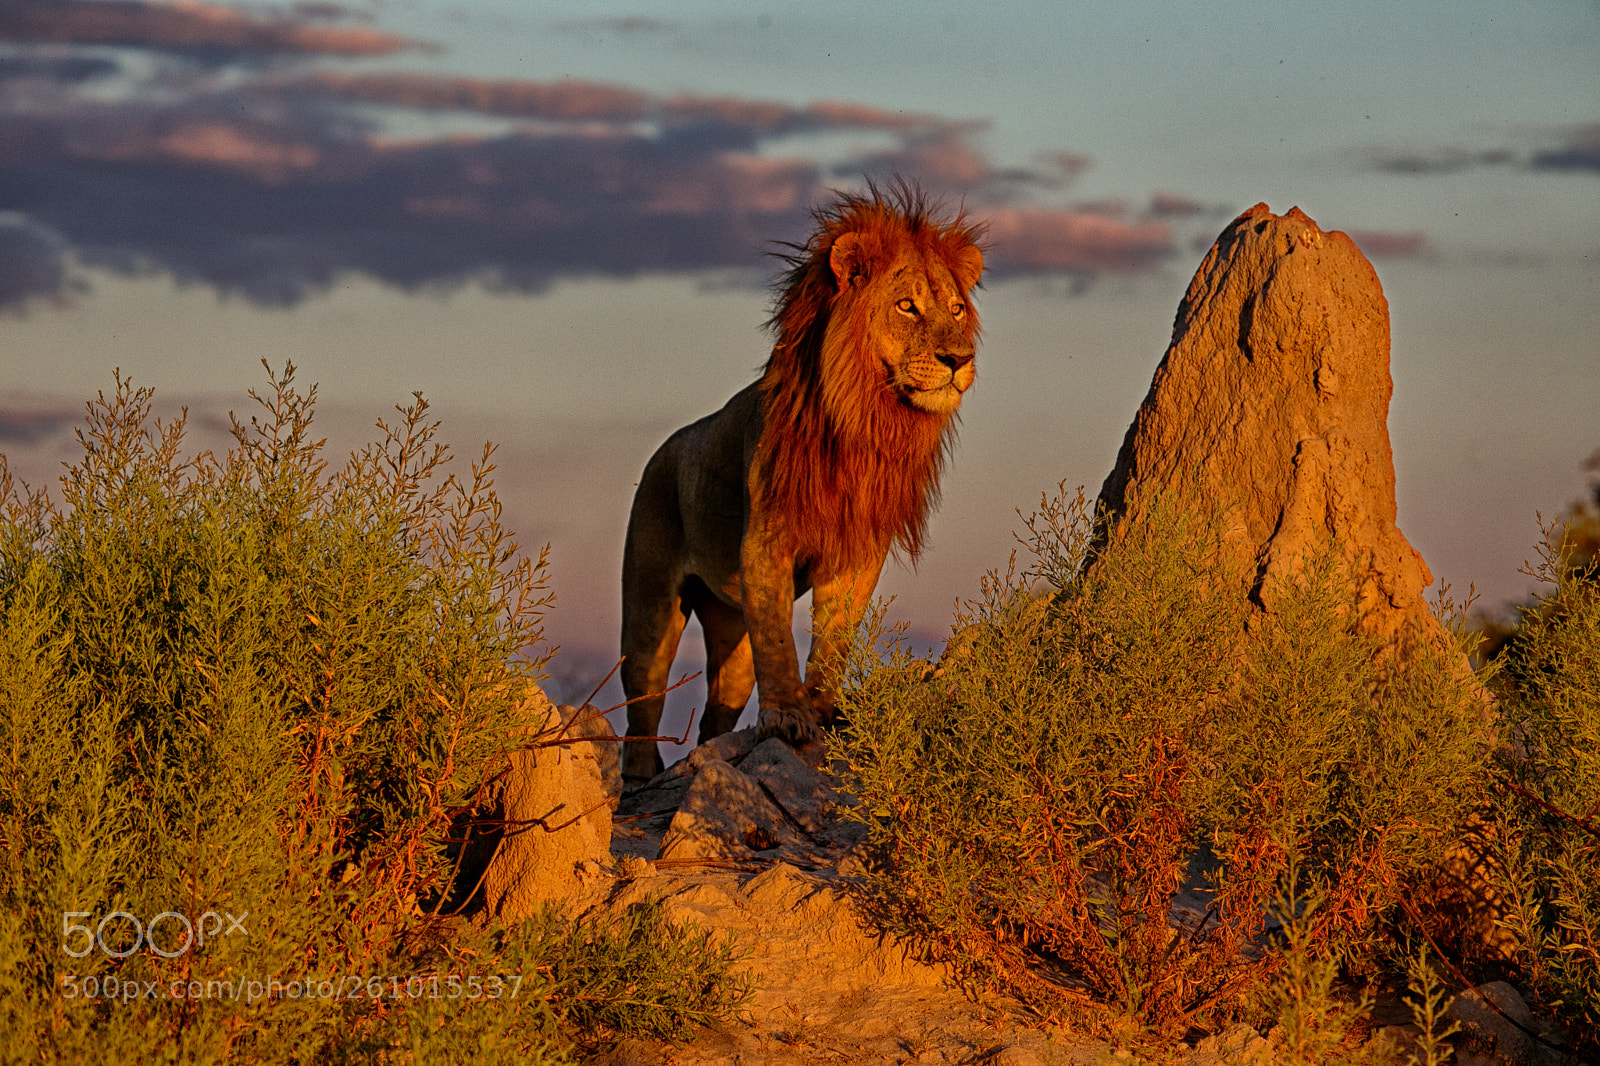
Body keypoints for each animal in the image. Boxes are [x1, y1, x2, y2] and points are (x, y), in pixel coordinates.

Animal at [620, 181, 985, 783]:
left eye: (956, 309)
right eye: (907, 305)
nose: (959, 359)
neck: (866, 420)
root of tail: (665, 448)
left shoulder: (857, 552)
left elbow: (833, 637)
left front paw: (821, 708)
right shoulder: (766, 544)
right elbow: (780, 645)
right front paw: (787, 719)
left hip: (730, 619)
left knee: (719, 706)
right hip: (650, 603)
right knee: (642, 700)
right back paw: (641, 777)